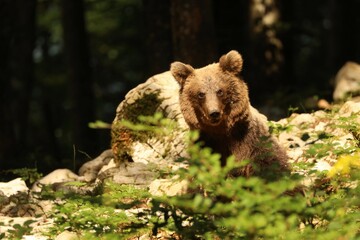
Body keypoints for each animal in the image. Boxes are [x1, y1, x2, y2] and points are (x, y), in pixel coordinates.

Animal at [171, 50, 290, 178]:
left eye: (220, 91)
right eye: (201, 94)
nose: (214, 113)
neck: (221, 131)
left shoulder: (251, 139)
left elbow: (271, 162)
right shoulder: (205, 144)